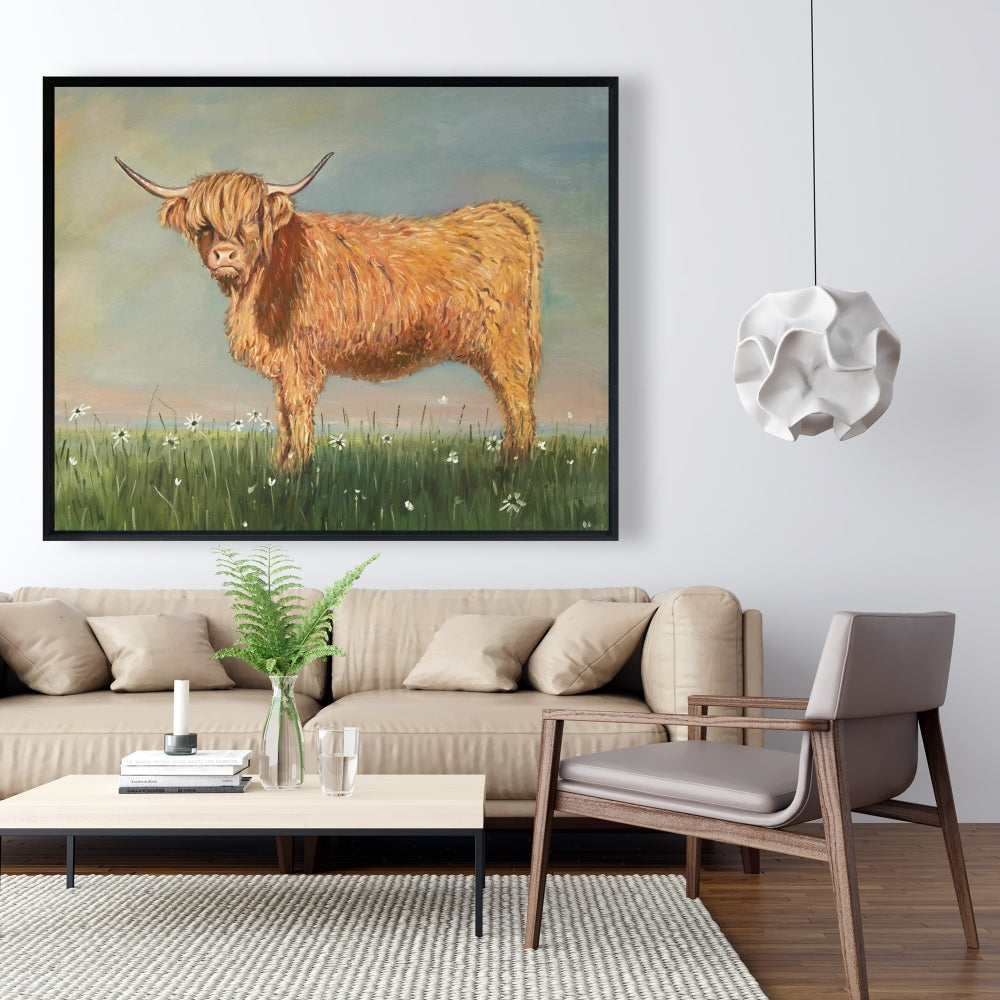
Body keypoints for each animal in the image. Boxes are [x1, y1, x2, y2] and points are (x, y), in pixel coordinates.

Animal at [116, 153, 542, 470]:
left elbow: (297, 408)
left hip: (504, 343)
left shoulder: (300, 357)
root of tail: (503, 211)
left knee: (517, 398)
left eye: (253, 219)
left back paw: (513, 464)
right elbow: (282, 412)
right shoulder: (282, 361)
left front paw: (297, 468)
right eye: (203, 224)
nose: (225, 255)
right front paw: (279, 463)